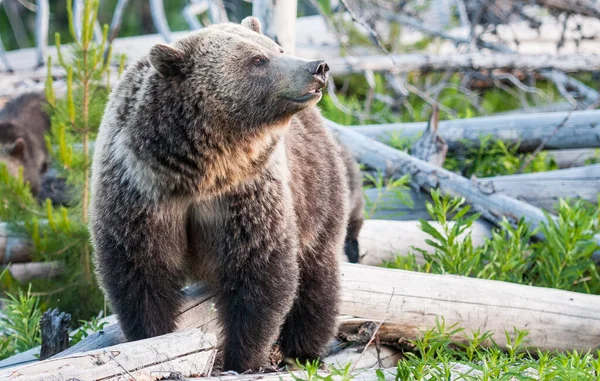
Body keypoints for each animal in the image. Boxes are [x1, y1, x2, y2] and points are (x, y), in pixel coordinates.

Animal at [89, 16, 360, 370]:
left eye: (276, 48)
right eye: (257, 60)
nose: (318, 67)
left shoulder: (245, 194)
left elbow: (259, 272)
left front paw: (243, 358)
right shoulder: (140, 191)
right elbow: (140, 272)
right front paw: (153, 338)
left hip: (317, 189)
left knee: (317, 274)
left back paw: (303, 346)